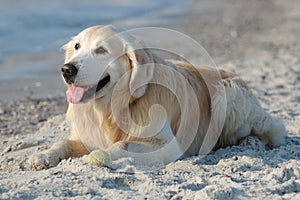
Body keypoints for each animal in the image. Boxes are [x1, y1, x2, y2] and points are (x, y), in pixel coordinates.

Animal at [29, 24, 288, 170]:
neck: (112, 108)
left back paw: (250, 142)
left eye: (101, 50)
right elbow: (62, 143)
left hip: (228, 93)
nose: (66, 70)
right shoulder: (87, 136)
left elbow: (122, 144)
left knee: (272, 132)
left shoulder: (169, 145)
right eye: (76, 46)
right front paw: (42, 156)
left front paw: (102, 156)